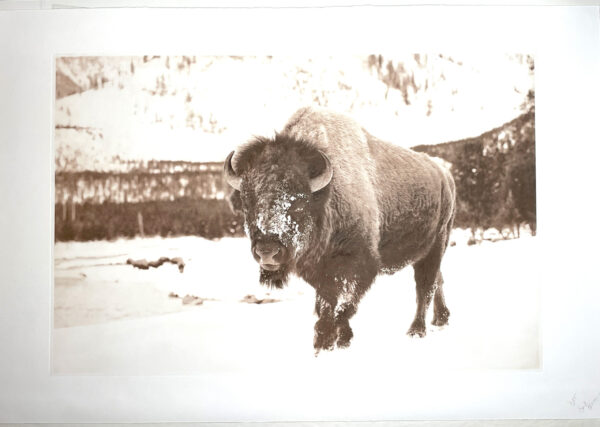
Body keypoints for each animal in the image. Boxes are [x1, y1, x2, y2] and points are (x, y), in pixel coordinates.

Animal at [225, 108, 454, 354]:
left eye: (299, 202)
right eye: (247, 202)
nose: (267, 251)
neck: (327, 194)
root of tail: (444, 174)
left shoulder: (358, 266)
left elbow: (343, 305)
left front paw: (330, 341)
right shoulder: (318, 271)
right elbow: (326, 304)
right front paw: (331, 340)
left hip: (436, 244)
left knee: (425, 287)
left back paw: (416, 330)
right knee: (437, 280)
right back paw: (440, 319)